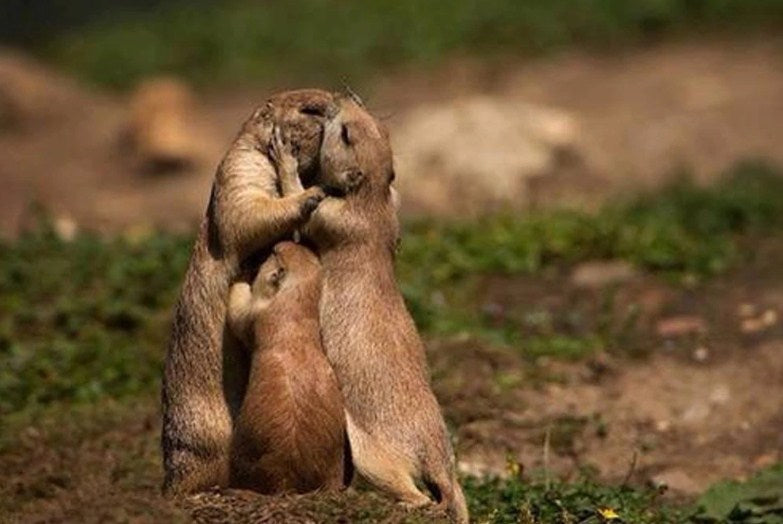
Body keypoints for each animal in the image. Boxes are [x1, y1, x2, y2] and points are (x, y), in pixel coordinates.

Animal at [226, 241, 345, 494]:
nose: (277, 244)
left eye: (274, 252)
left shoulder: (257, 313)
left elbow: (239, 311)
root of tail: (286, 479)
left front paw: (240, 274)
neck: (294, 302)